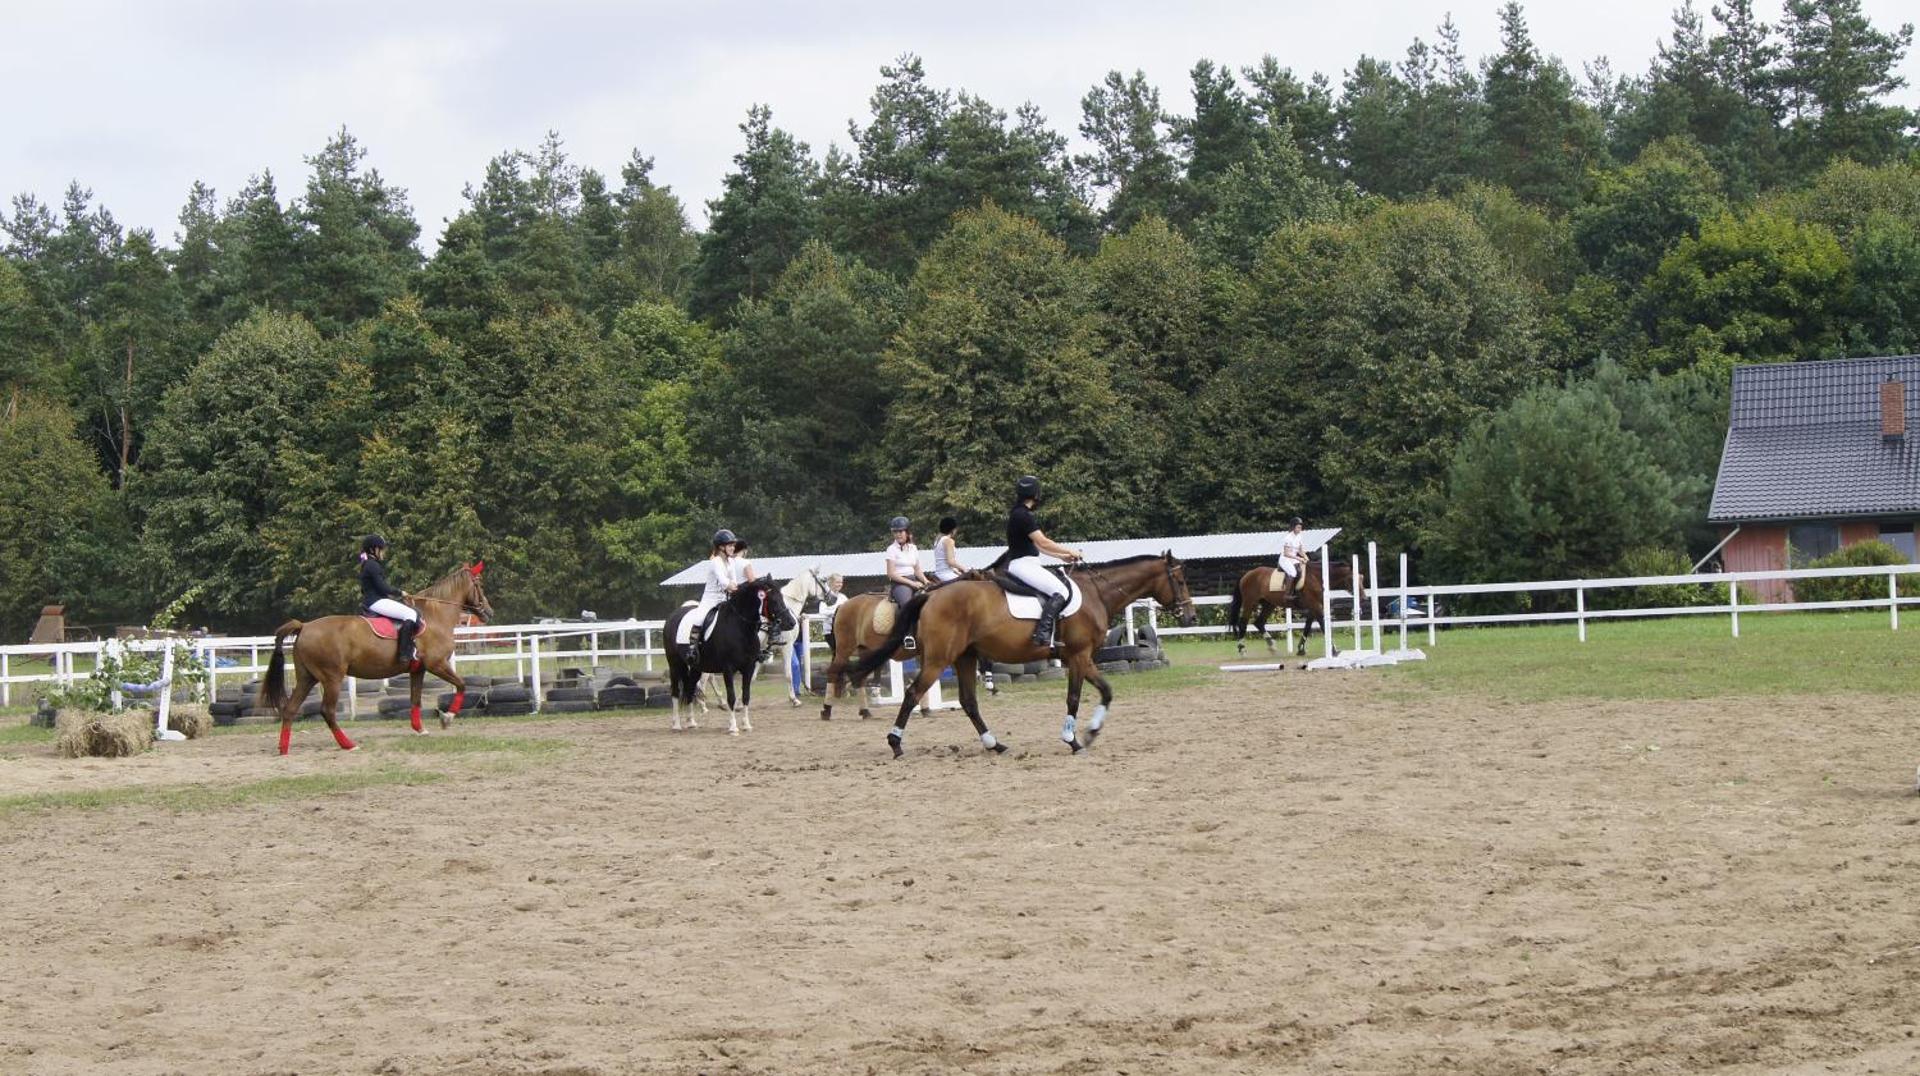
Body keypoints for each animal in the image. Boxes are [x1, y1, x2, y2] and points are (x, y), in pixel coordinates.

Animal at [259, 563, 494, 756]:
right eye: (479, 584)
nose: (489, 612)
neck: (435, 616)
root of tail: (305, 626)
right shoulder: (437, 665)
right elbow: (461, 685)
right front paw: (447, 718)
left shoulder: (418, 669)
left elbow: (415, 699)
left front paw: (420, 729)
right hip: (332, 678)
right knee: (327, 711)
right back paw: (348, 744)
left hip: (307, 678)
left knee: (290, 709)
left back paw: (283, 748)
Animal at [663, 576, 794, 735]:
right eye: (773, 599)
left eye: (782, 597)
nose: (792, 623)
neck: (740, 627)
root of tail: (672, 616)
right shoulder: (728, 669)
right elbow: (731, 696)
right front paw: (733, 727)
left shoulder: (748, 667)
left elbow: (746, 696)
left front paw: (746, 725)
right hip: (674, 664)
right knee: (676, 692)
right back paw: (676, 724)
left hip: (696, 667)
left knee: (690, 688)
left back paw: (691, 722)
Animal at [850, 553, 1197, 756]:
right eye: (1179, 580)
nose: (1191, 617)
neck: (1096, 594)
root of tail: (931, 594)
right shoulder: (1079, 656)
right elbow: (1075, 697)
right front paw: (1074, 740)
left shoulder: (1081, 658)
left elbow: (1107, 691)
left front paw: (1091, 732)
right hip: (938, 660)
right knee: (913, 693)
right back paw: (895, 743)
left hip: (964, 657)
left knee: (968, 701)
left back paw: (994, 744)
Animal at [1225, 560, 1365, 657]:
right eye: (1352, 579)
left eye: (1362, 578)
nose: (1363, 597)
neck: (1317, 577)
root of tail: (1247, 574)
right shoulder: (1315, 606)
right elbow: (1323, 624)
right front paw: (1334, 650)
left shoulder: (1313, 607)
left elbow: (1308, 626)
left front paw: (1301, 649)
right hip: (1250, 603)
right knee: (1243, 623)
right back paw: (1242, 649)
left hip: (1269, 604)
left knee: (1259, 622)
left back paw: (1272, 646)